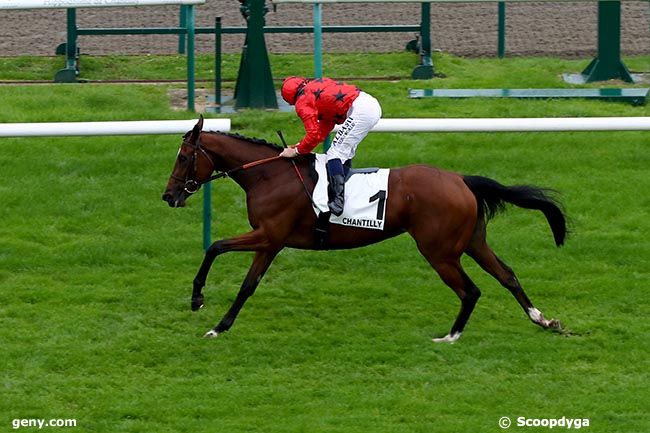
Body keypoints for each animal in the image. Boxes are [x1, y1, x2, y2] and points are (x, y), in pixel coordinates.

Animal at [161, 117, 560, 340]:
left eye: (182, 157)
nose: (168, 196)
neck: (269, 175)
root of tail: (461, 179)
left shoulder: (269, 235)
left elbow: (215, 246)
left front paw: (198, 300)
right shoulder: (271, 243)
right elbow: (247, 286)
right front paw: (220, 327)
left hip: (440, 251)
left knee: (471, 290)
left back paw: (451, 336)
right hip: (472, 242)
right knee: (507, 275)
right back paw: (544, 320)